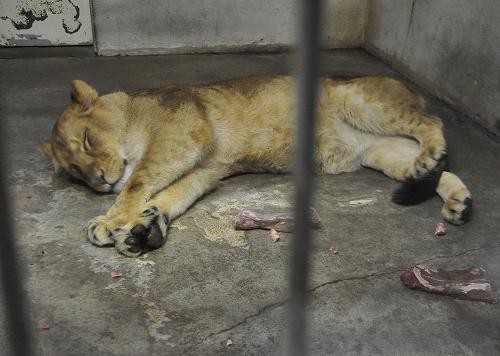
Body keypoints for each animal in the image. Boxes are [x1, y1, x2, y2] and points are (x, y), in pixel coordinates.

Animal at [40, 76, 472, 258]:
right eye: (75, 170)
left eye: (87, 141)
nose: (99, 181)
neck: (132, 113)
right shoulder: (205, 168)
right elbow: (170, 195)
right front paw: (144, 227)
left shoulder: (181, 139)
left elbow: (138, 182)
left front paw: (109, 221)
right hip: (381, 150)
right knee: (426, 163)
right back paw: (456, 201)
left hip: (361, 101)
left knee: (432, 123)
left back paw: (432, 158)